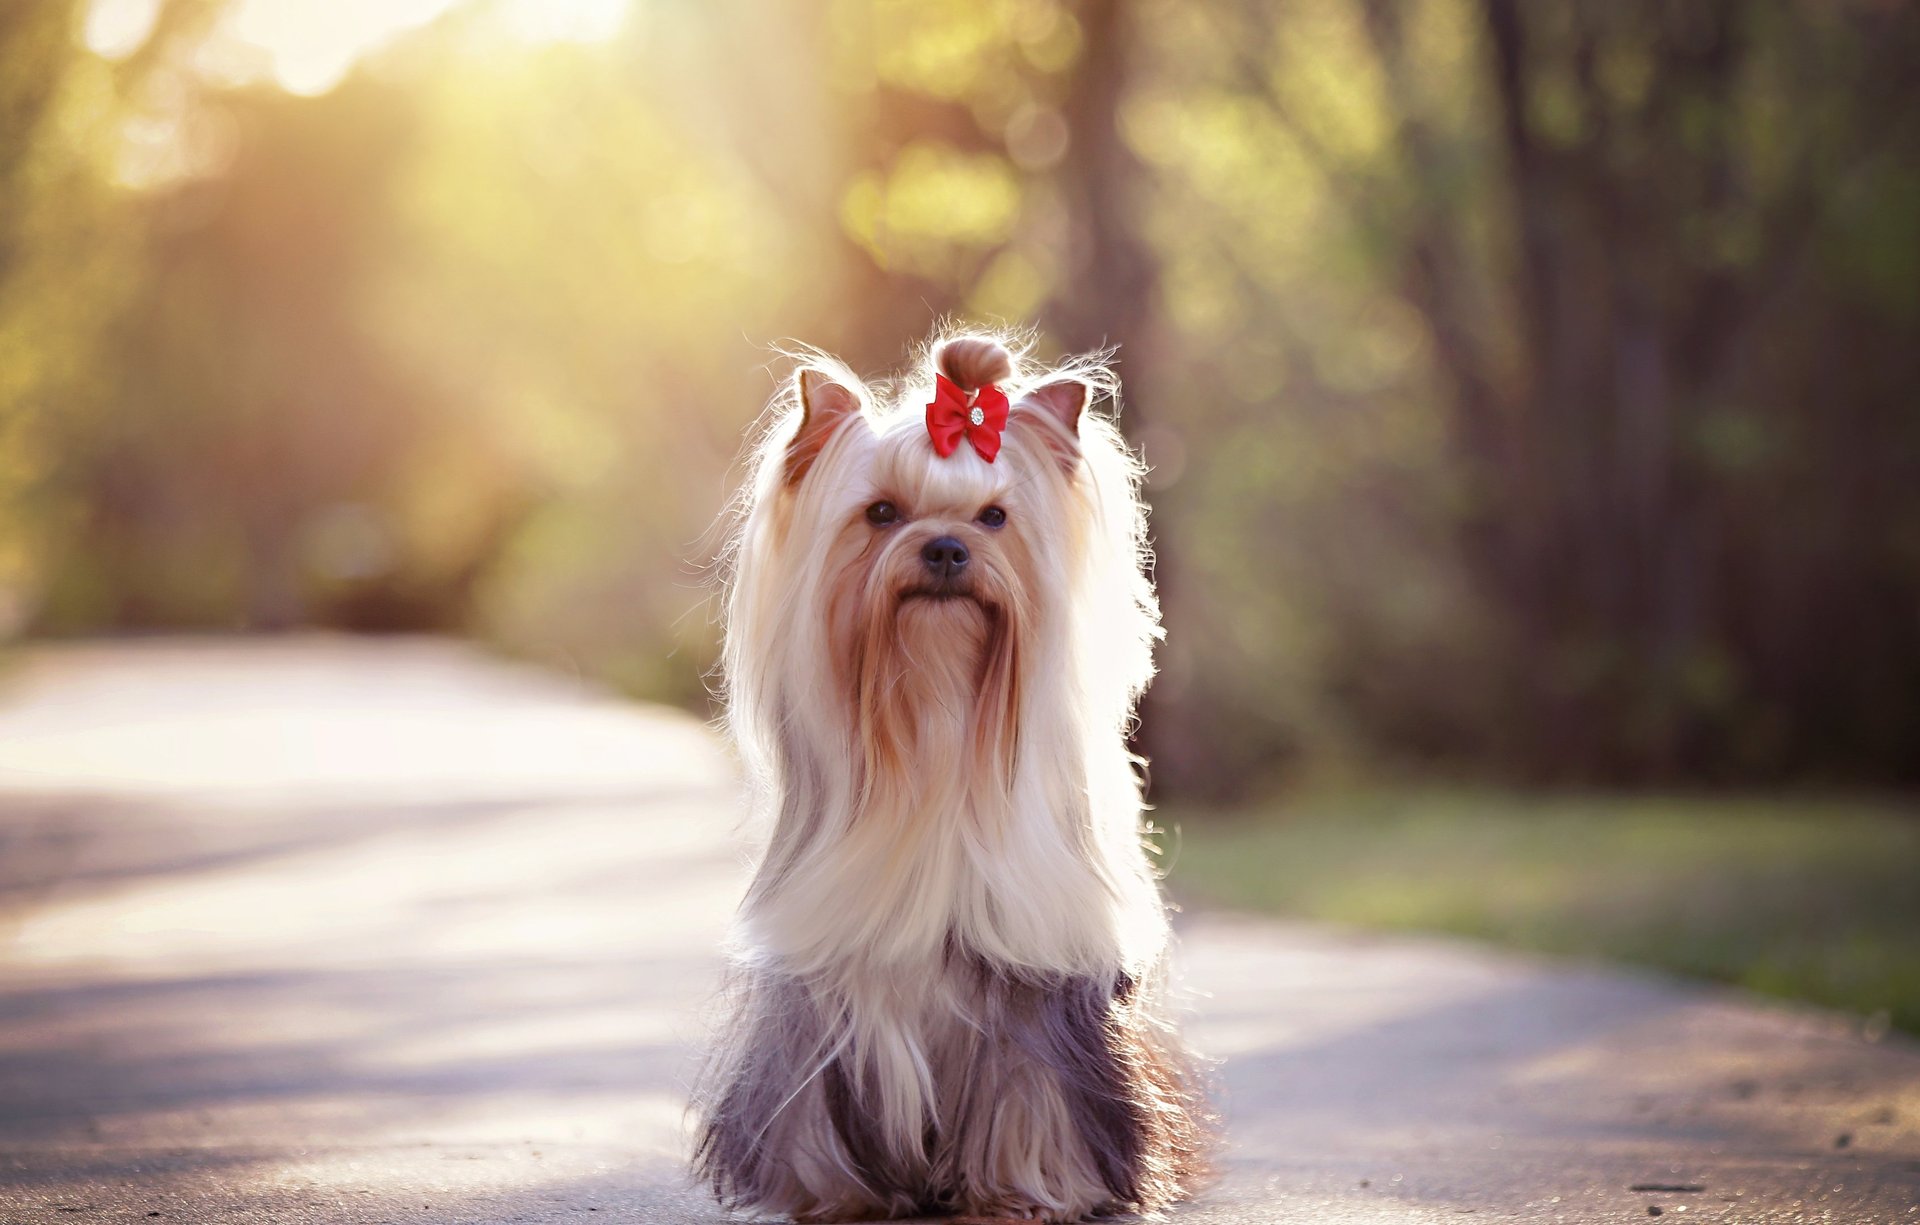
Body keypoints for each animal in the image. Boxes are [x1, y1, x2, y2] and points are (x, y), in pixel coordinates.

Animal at [695, 330, 1198, 1221]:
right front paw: (836, 1194)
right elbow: (817, 1110)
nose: (946, 546)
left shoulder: (1033, 988)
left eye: (994, 516)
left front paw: (1023, 1191)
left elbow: (1029, 1096)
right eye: (881, 513)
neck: (935, 714)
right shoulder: (831, 998)